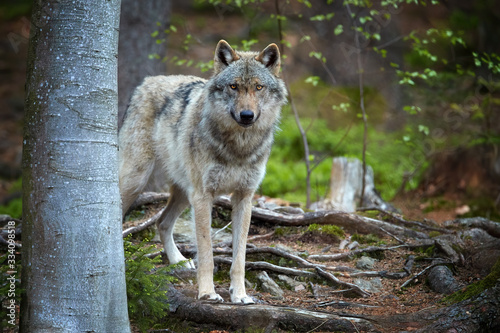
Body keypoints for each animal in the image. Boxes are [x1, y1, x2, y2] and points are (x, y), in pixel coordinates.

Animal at [117, 40, 288, 302]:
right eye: (233, 86)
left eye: (258, 87)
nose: (247, 116)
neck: (238, 147)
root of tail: (146, 81)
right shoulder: (203, 196)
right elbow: (207, 252)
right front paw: (208, 292)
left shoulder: (244, 198)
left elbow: (240, 257)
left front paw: (240, 295)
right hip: (137, 180)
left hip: (184, 193)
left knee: (162, 223)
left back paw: (178, 261)